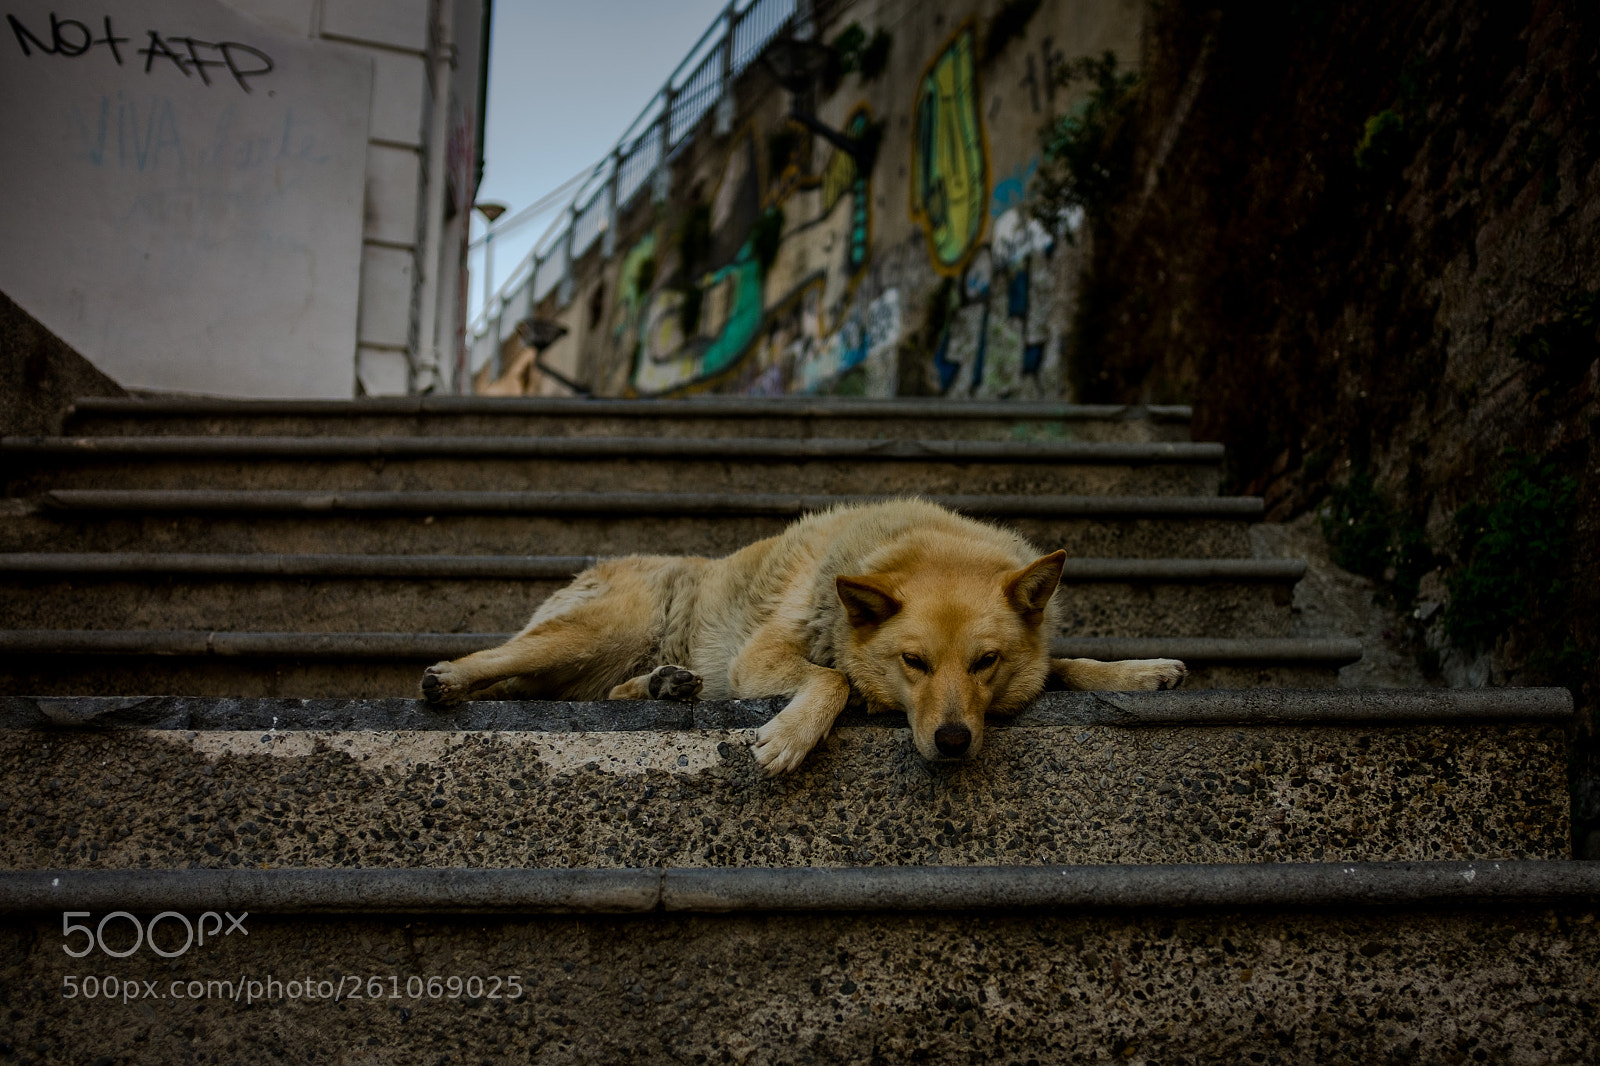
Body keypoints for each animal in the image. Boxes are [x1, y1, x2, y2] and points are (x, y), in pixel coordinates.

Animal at [419, 499, 1184, 771]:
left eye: (986, 662)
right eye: (913, 662)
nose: (953, 742)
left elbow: (1067, 664)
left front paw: (1140, 672)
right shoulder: (763, 657)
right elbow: (835, 675)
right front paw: (791, 735)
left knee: (605, 692)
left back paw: (666, 684)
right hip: (598, 629)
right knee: (500, 659)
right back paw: (448, 679)